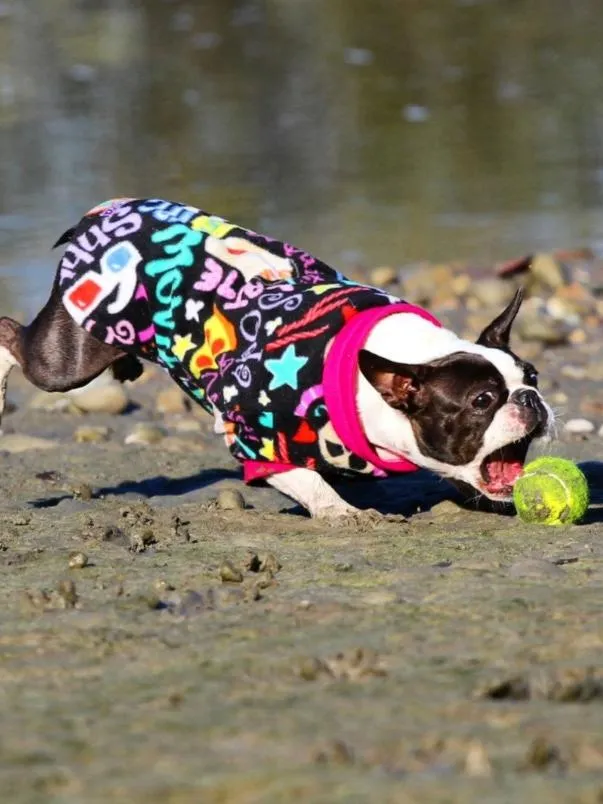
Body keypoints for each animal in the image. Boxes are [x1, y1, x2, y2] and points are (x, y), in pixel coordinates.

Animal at [0, 197, 556, 520]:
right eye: (482, 400)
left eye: (532, 376)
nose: (531, 400)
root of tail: (103, 212)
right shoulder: (251, 431)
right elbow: (301, 477)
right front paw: (340, 512)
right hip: (70, 356)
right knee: (15, 338)